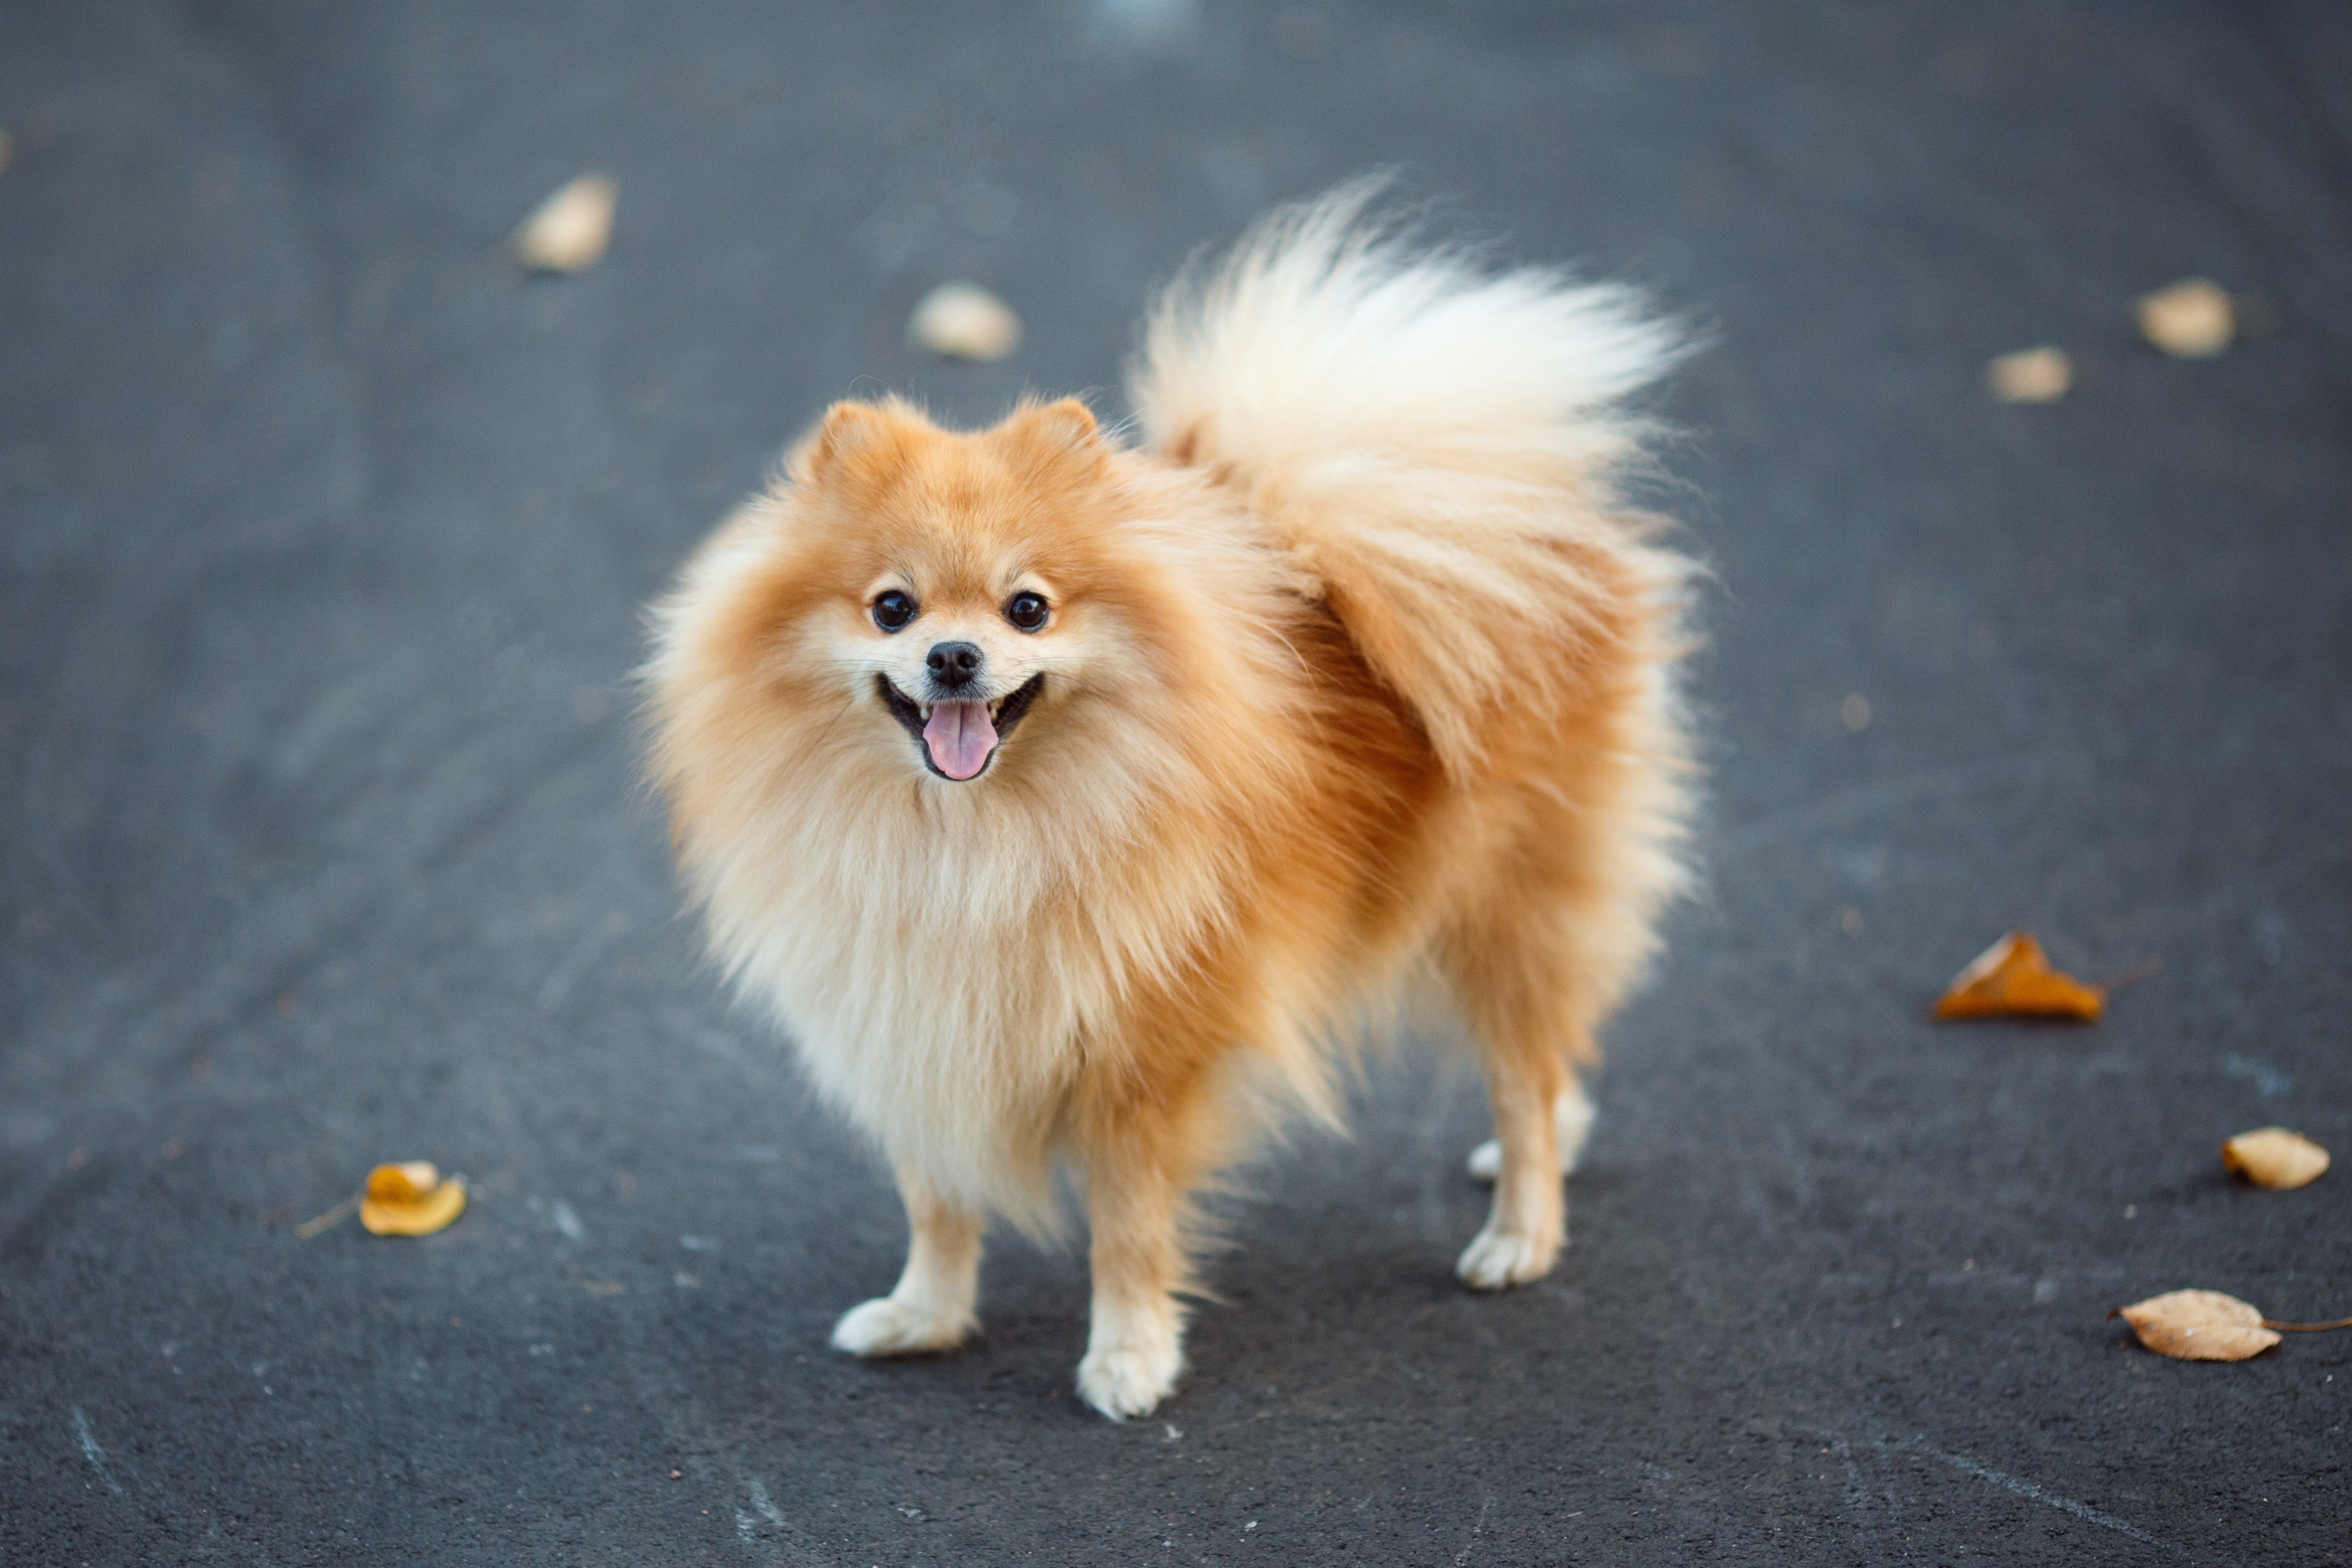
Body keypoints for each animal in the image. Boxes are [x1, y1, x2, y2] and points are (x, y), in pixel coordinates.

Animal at [644, 184, 1702, 1420]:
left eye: (1027, 607)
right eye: (892, 607)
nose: (954, 656)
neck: (968, 842)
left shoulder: (1143, 1058)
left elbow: (1128, 1230)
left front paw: (1129, 1359)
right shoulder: (918, 1028)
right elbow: (937, 1200)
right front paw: (924, 1316)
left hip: (1501, 899)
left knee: (1522, 1070)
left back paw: (1519, 1231)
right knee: (1550, 1053)